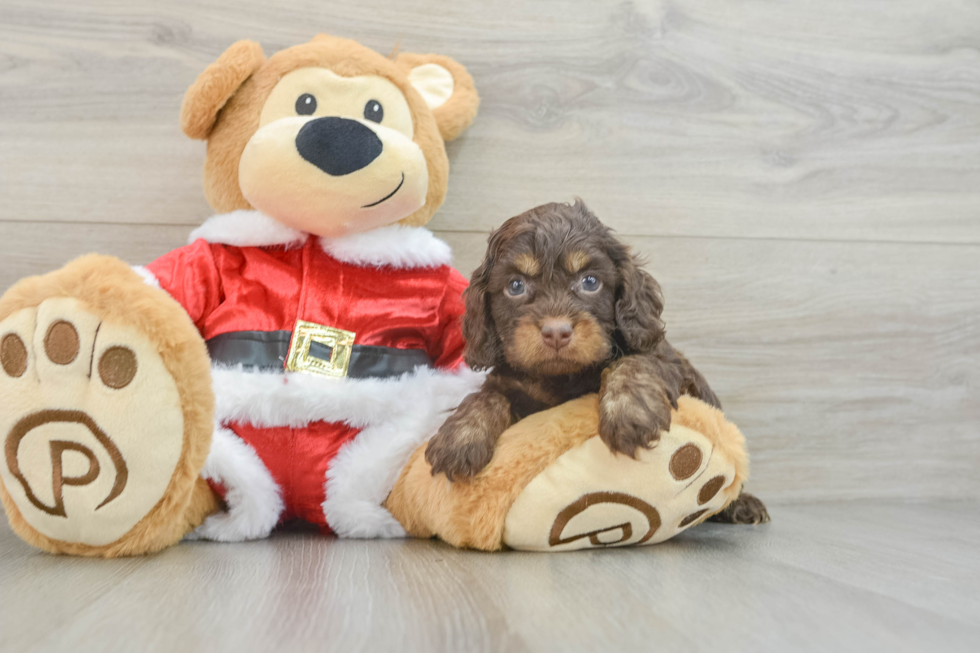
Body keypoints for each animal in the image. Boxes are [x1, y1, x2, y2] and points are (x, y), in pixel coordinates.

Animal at [424, 199, 768, 524]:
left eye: (590, 282)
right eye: (515, 286)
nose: (556, 332)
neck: (561, 377)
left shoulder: (666, 359)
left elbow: (631, 362)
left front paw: (629, 412)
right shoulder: (508, 382)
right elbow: (485, 397)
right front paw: (459, 437)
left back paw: (743, 505)